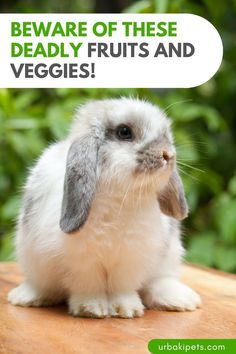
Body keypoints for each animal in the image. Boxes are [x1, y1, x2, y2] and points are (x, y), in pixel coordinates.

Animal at [8, 97, 202, 318]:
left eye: (166, 134)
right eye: (124, 132)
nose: (168, 155)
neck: (118, 198)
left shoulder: (131, 258)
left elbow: (122, 287)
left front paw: (126, 310)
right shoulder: (82, 261)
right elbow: (88, 285)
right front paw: (91, 309)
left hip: (169, 257)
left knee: (159, 282)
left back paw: (181, 300)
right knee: (42, 285)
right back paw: (26, 297)